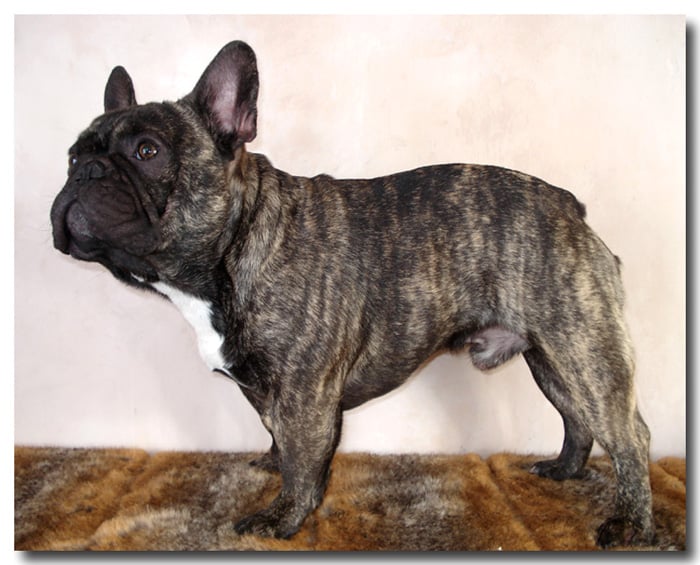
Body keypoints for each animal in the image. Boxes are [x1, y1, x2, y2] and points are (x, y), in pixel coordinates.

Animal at [50, 41, 654, 547]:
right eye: (72, 155)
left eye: (146, 151)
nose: (85, 172)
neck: (236, 245)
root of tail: (569, 206)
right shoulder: (267, 391)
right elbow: (280, 438)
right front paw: (278, 470)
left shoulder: (304, 392)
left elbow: (302, 456)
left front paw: (283, 517)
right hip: (552, 356)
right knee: (578, 417)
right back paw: (563, 472)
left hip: (584, 349)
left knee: (630, 437)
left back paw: (632, 524)